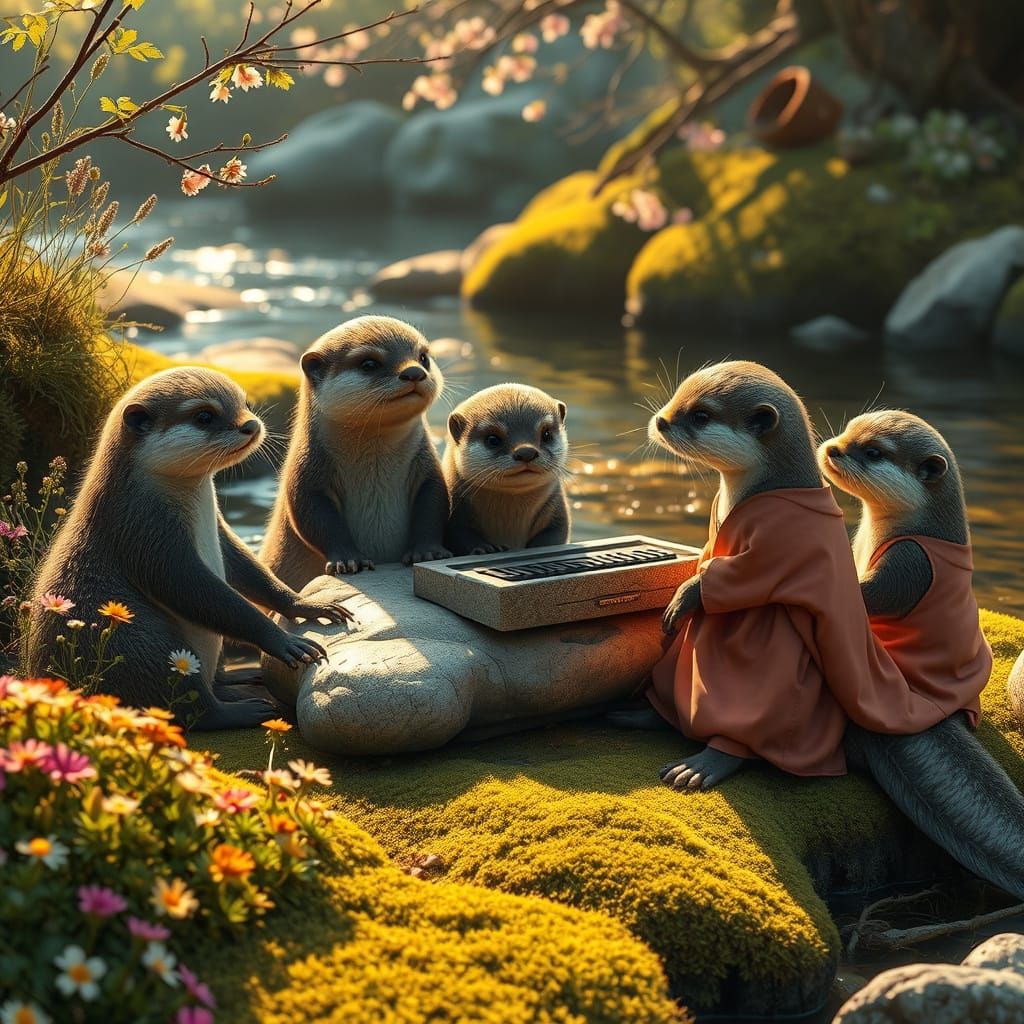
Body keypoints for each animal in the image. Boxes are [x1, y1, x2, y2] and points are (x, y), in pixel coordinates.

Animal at [24, 368, 351, 729]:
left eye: (246, 403)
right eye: (204, 416)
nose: (250, 425)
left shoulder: (219, 532)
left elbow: (248, 569)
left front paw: (306, 605)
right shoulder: (146, 530)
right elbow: (193, 590)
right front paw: (284, 641)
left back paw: (240, 678)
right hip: (143, 646)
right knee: (189, 706)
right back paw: (246, 710)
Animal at [260, 316, 451, 589]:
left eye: (423, 357)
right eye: (369, 363)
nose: (414, 372)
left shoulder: (427, 467)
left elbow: (434, 503)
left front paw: (427, 552)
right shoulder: (307, 473)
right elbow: (316, 518)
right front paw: (349, 560)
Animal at [442, 383, 570, 554]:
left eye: (547, 434)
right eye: (492, 439)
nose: (526, 452)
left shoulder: (557, 512)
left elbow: (555, 534)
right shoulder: (456, 513)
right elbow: (461, 535)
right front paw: (486, 548)